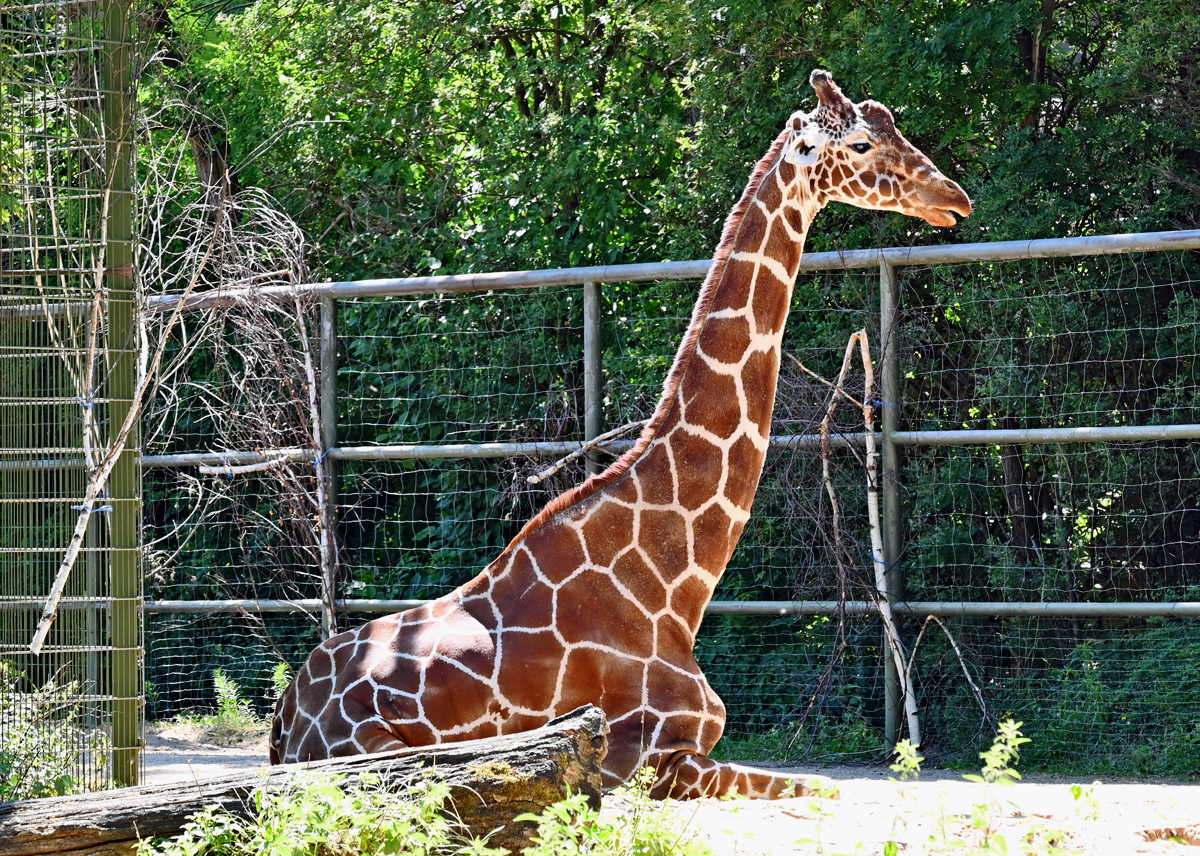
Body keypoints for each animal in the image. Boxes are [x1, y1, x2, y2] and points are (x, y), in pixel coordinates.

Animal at [272, 70, 964, 797]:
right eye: (861, 143)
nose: (954, 197)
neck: (673, 581)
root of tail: (287, 714)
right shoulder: (651, 758)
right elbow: (829, 790)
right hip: (374, 764)